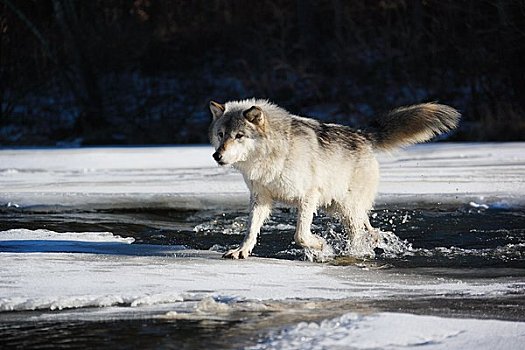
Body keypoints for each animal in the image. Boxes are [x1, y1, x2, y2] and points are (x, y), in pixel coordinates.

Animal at [209, 98, 458, 258]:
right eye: (221, 135)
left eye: (239, 136)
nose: (217, 155)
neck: (276, 154)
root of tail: (363, 135)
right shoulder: (260, 198)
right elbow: (251, 230)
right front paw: (241, 251)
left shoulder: (308, 196)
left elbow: (300, 235)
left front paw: (320, 244)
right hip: (337, 207)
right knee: (370, 230)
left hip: (349, 209)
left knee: (359, 233)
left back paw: (355, 253)